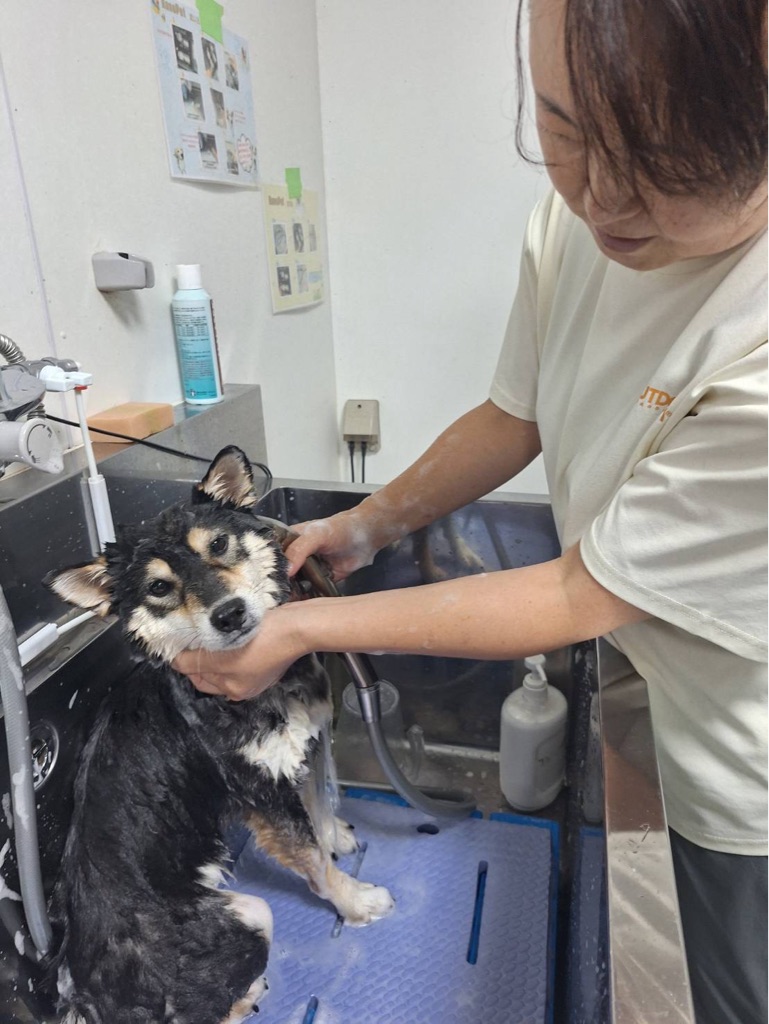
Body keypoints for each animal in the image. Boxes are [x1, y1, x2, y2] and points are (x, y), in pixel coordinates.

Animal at [44, 446, 394, 1024]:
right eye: (159, 587)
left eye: (218, 545)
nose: (229, 614)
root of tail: (89, 998)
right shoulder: (261, 793)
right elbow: (316, 866)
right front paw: (356, 902)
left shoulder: (298, 755)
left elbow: (317, 810)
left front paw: (334, 835)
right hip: (250, 914)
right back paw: (250, 994)